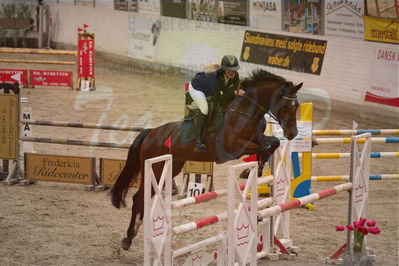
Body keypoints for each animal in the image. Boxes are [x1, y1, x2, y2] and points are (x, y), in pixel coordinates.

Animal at [111, 69, 302, 250]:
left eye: (297, 105)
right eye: (286, 105)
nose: (292, 134)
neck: (245, 112)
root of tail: (150, 133)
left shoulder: (258, 138)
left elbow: (273, 142)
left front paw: (256, 168)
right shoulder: (233, 148)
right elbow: (262, 147)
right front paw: (250, 170)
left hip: (171, 168)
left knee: (144, 198)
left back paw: (133, 233)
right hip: (155, 169)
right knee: (138, 198)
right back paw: (127, 239)